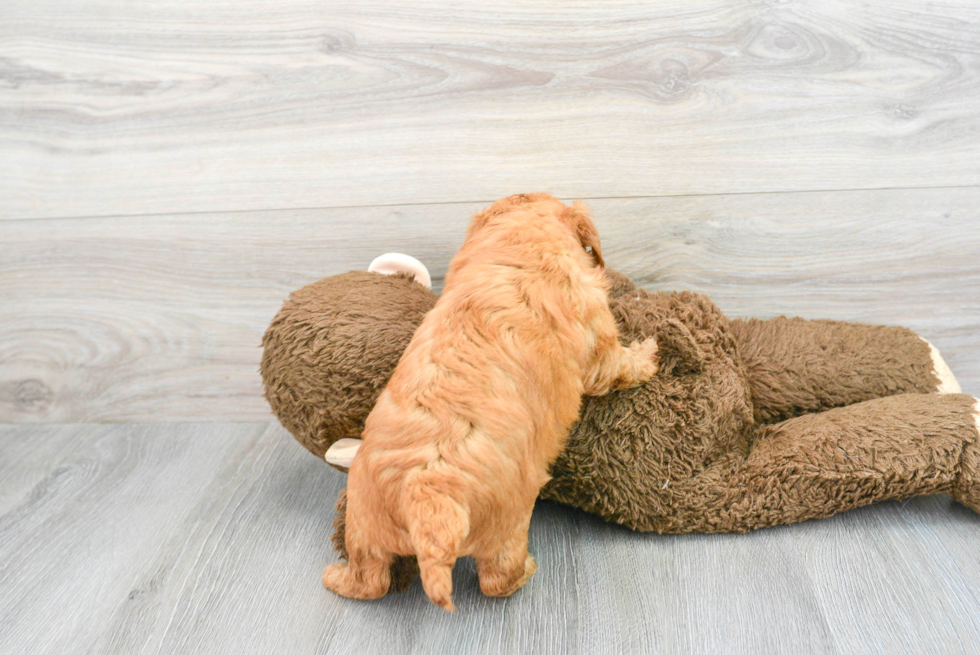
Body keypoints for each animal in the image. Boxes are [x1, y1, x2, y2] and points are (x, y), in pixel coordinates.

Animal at [324, 192, 660, 612]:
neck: (520, 243)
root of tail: (427, 498)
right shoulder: (598, 337)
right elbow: (620, 364)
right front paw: (649, 353)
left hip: (364, 524)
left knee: (369, 579)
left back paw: (336, 577)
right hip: (507, 525)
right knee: (497, 580)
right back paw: (526, 571)